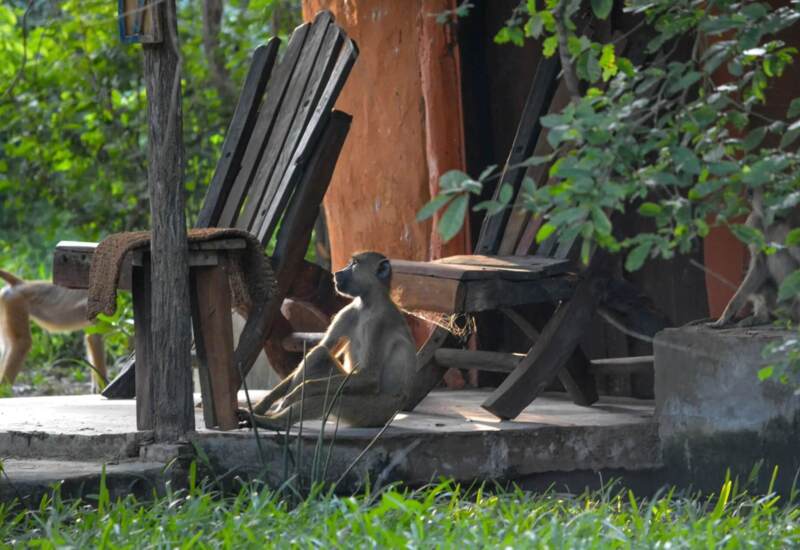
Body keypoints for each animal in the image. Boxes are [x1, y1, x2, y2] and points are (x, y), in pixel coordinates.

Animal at [241, 251, 418, 430]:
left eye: (354, 264)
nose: (338, 273)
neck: (368, 304)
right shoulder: (347, 312)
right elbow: (326, 346)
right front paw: (262, 404)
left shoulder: (378, 323)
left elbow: (370, 376)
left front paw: (300, 391)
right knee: (319, 353)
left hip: (373, 412)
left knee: (327, 398)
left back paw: (275, 422)